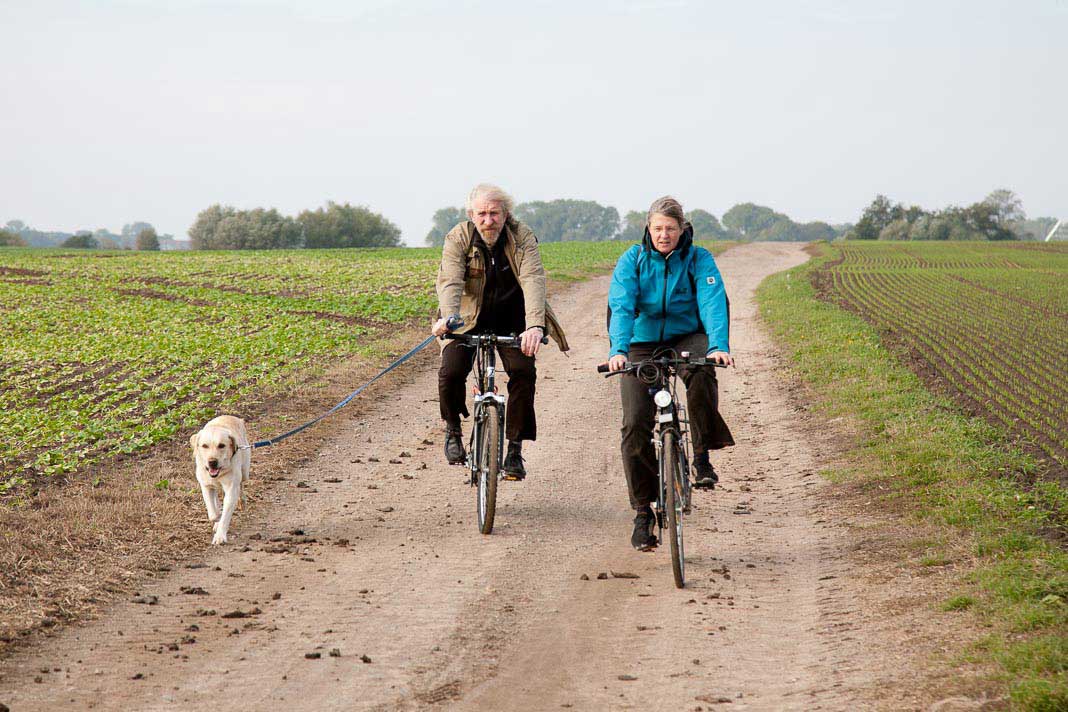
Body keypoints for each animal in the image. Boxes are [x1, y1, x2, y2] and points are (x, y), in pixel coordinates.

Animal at [190, 414, 249, 542]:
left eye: (221, 445)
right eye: (204, 446)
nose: (212, 462)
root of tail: (232, 416)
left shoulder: (231, 489)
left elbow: (225, 516)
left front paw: (220, 536)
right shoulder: (206, 486)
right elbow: (213, 514)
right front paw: (217, 519)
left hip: (245, 471)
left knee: (241, 484)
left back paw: (242, 500)